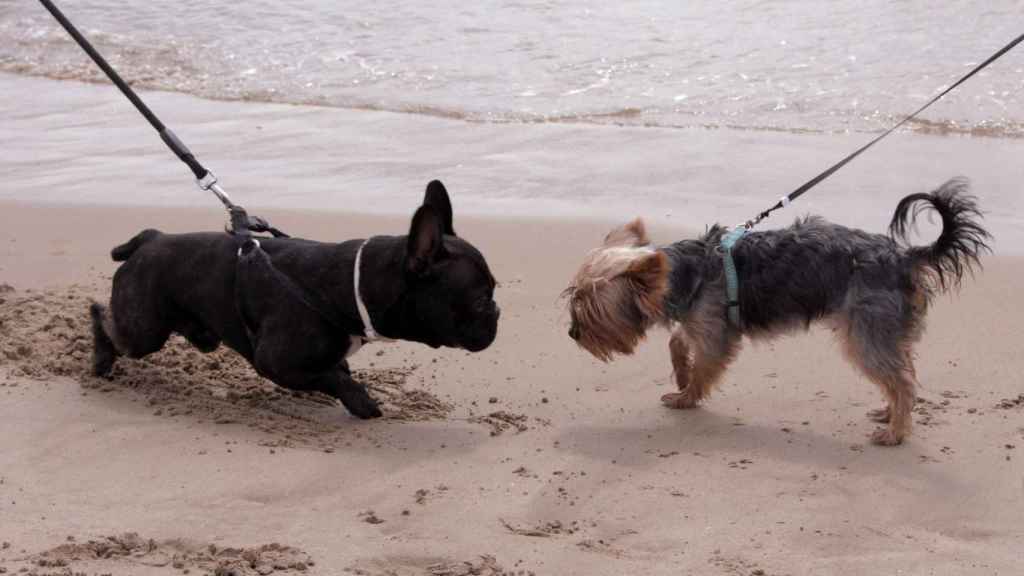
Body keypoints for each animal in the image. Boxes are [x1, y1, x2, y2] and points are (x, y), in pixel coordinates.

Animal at [90, 180, 497, 416]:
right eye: (480, 301)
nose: (497, 311)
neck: (351, 286)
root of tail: (151, 239)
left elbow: (334, 370)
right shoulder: (274, 361)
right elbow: (333, 378)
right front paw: (363, 403)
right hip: (144, 330)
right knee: (104, 319)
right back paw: (100, 359)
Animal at [569, 178, 991, 444]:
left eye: (590, 305)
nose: (572, 334)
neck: (686, 271)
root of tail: (905, 257)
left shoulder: (715, 332)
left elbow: (705, 365)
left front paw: (686, 396)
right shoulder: (698, 319)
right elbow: (678, 341)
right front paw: (681, 374)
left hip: (865, 332)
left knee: (902, 380)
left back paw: (895, 432)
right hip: (885, 331)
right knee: (902, 371)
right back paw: (890, 414)